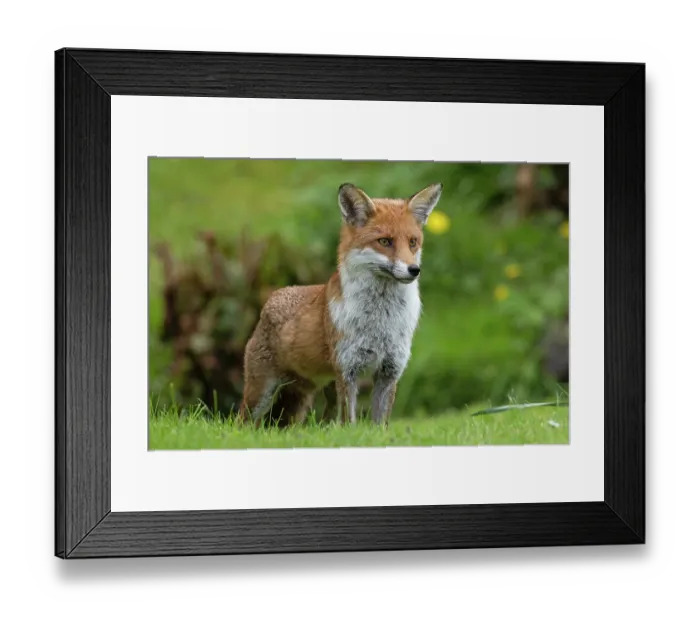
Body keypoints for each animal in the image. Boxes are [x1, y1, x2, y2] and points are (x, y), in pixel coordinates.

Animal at [240, 181, 443, 428]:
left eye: (413, 242)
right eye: (385, 241)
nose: (414, 270)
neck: (381, 320)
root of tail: (273, 297)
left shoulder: (389, 371)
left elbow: (380, 425)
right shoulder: (348, 370)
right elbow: (350, 422)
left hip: (316, 394)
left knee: (320, 422)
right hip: (260, 394)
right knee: (240, 421)